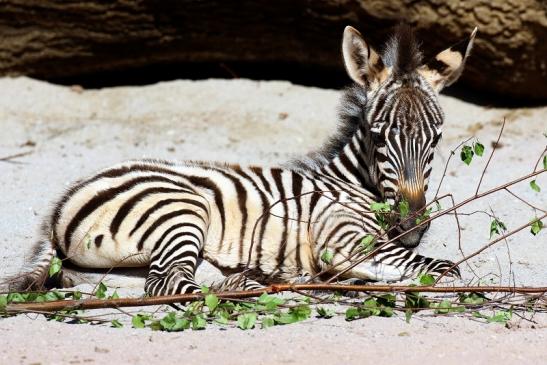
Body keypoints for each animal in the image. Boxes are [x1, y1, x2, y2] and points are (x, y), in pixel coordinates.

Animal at [5, 24, 476, 294]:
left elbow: (430, 264)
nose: (413, 228)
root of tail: (60, 204)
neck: (351, 184)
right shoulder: (341, 236)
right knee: (168, 284)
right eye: (378, 137)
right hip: (180, 210)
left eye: (436, 139)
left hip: (132, 259)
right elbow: (440, 268)